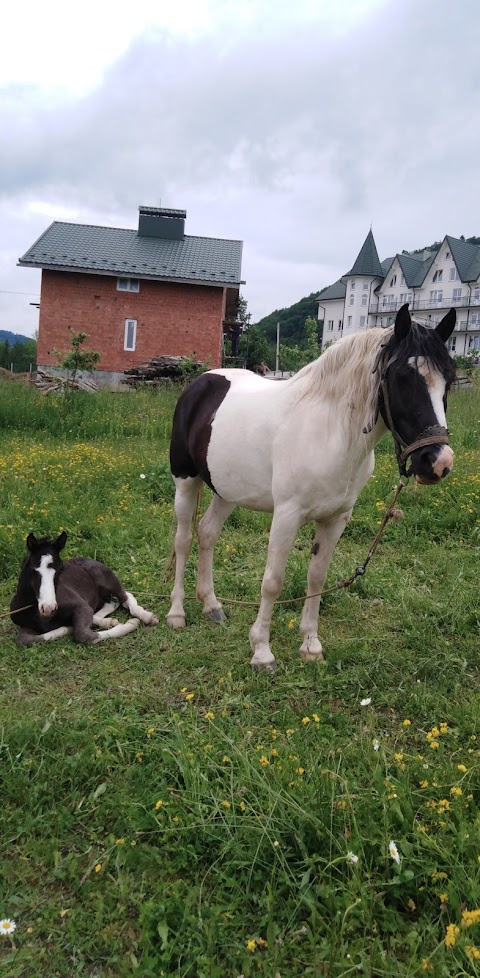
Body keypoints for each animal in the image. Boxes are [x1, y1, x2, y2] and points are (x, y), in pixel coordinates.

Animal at [10, 528, 159, 644]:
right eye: (33, 569)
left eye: (60, 569)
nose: (48, 607)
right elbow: (24, 639)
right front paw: (68, 627)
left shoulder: (80, 605)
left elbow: (84, 634)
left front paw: (131, 624)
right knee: (112, 602)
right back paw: (107, 621)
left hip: (106, 579)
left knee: (125, 596)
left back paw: (147, 616)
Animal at [167, 304, 456, 672]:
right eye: (403, 377)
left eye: (448, 380)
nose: (438, 462)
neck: (330, 431)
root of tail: (201, 383)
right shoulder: (287, 515)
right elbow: (272, 582)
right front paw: (261, 651)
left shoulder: (335, 518)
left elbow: (316, 577)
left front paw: (310, 645)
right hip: (186, 482)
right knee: (184, 540)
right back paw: (176, 613)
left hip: (226, 490)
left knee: (207, 534)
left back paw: (212, 605)